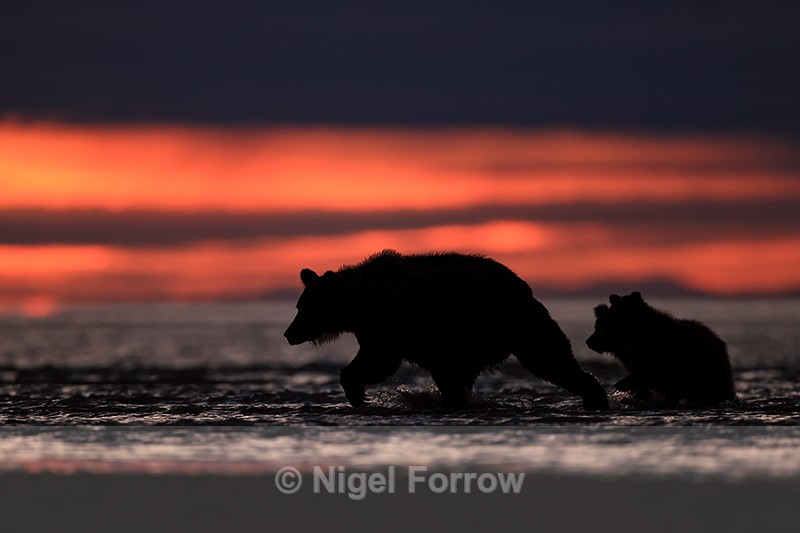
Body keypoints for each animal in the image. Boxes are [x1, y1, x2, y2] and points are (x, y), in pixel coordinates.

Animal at [284, 250, 609, 410]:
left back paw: (594, 396)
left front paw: (356, 392)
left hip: (510, 322)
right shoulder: (378, 329)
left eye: (303, 308)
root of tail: (522, 285)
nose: (289, 333)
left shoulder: (390, 323)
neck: (358, 306)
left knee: (550, 357)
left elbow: (379, 360)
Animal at [585, 291, 736, 405]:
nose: (588, 342)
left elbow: (653, 374)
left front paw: (623, 385)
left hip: (709, 370)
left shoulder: (663, 354)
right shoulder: (636, 353)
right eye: (597, 326)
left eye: (600, 327)